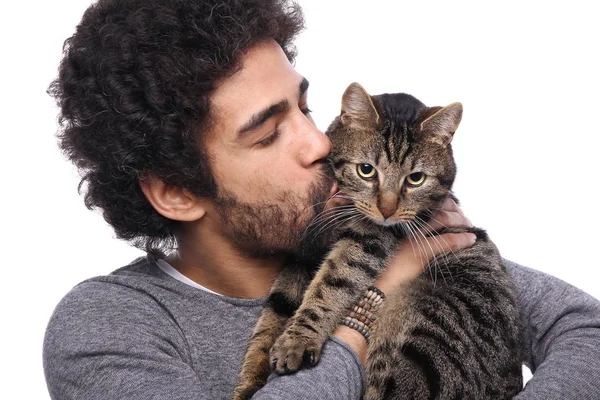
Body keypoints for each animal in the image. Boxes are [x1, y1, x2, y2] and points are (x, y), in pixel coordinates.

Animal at [232, 83, 524, 398]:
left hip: (429, 327)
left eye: (416, 178)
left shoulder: (367, 242)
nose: (387, 209)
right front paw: (251, 381)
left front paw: (297, 340)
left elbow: (330, 286)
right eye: (366, 170)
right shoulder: (301, 255)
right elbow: (274, 313)